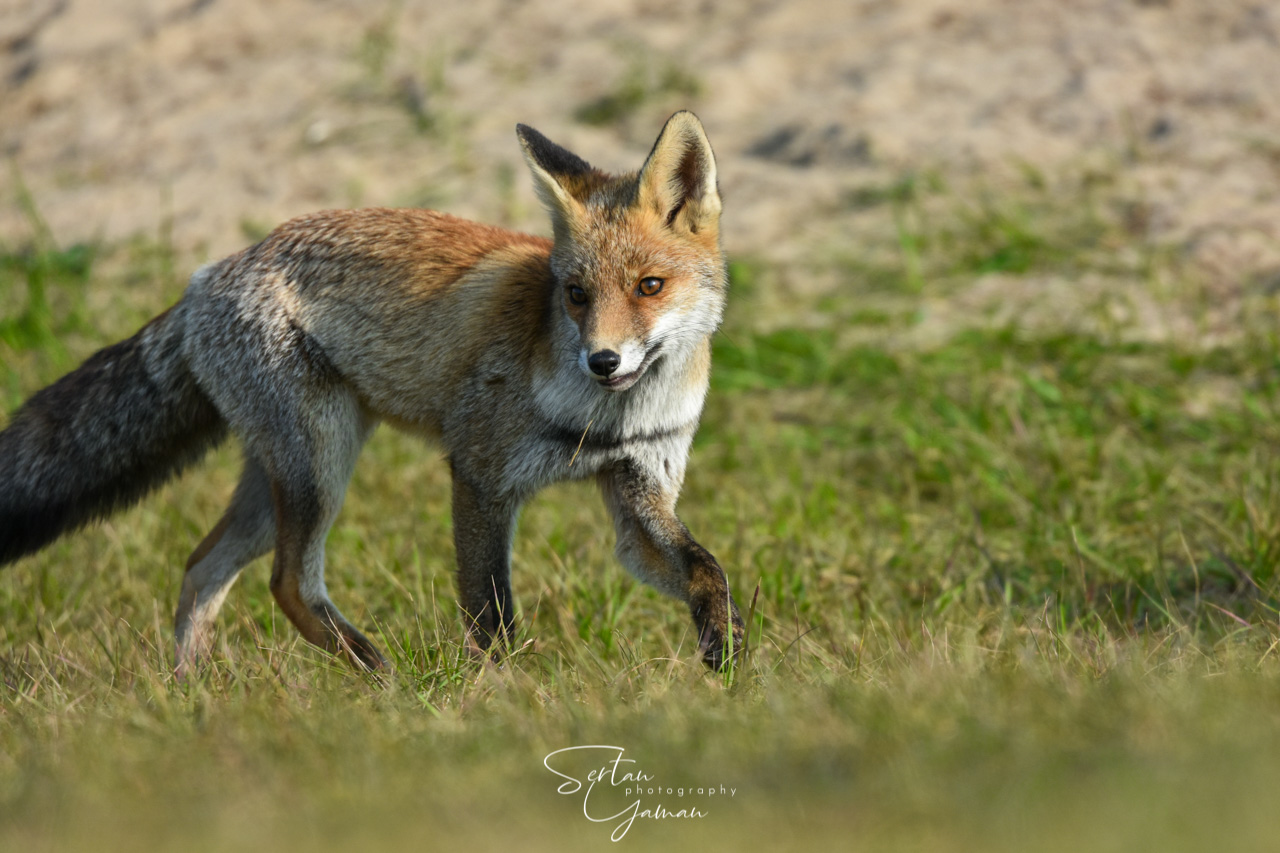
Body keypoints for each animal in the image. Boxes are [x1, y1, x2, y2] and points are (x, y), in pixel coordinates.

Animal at [0, 111, 744, 673]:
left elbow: (705, 568)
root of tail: (206, 275)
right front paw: (510, 697)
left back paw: (193, 698)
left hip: (283, 480)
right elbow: (492, 617)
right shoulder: (480, 479)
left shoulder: (637, 489)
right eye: (576, 294)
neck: (603, 419)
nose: (602, 360)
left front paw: (725, 650)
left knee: (202, 565)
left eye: (649, 286)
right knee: (288, 583)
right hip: (319, 467)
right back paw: (380, 677)